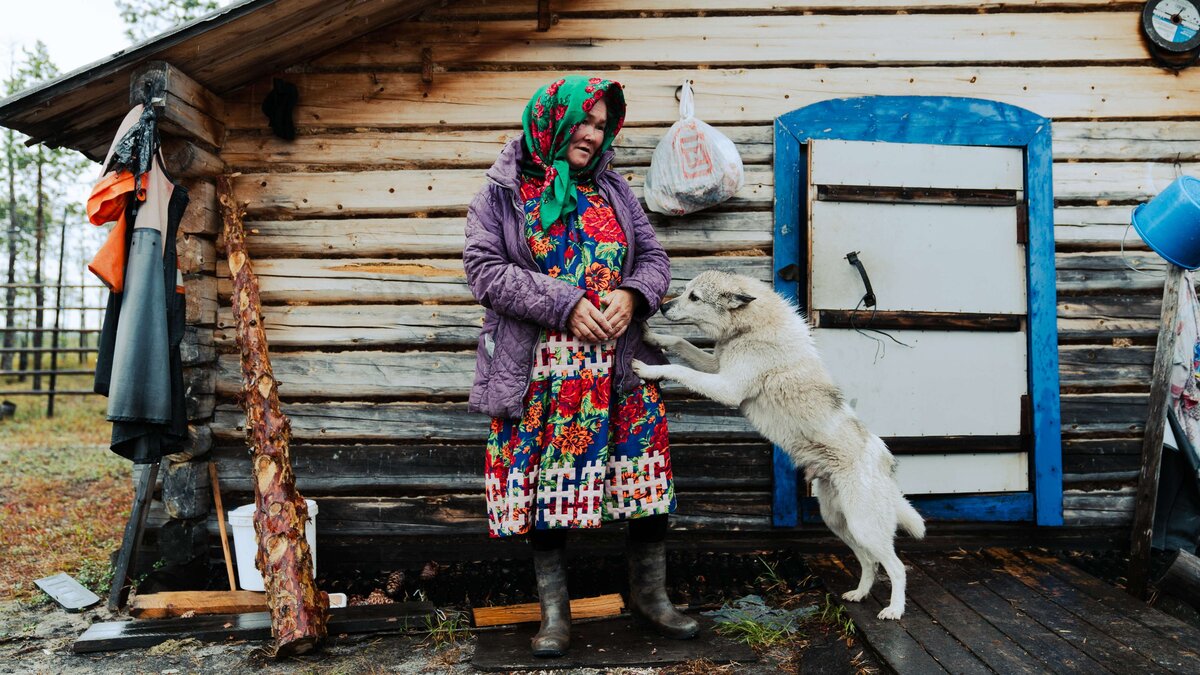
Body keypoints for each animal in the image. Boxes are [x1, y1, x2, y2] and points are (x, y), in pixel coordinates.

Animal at [628, 270, 926, 619]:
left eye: (694, 297)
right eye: (685, 290)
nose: (663, 307)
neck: (750, 326)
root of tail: (885, 462)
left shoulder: (727, 387)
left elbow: (677, 367)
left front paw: (648, 368)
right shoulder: (717, 367)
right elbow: (680, 343)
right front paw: (652, 337)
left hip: (864, 525)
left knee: (896, 566)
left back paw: (894, 610)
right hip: (839, 522)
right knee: (869, 562)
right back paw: (859, 594)